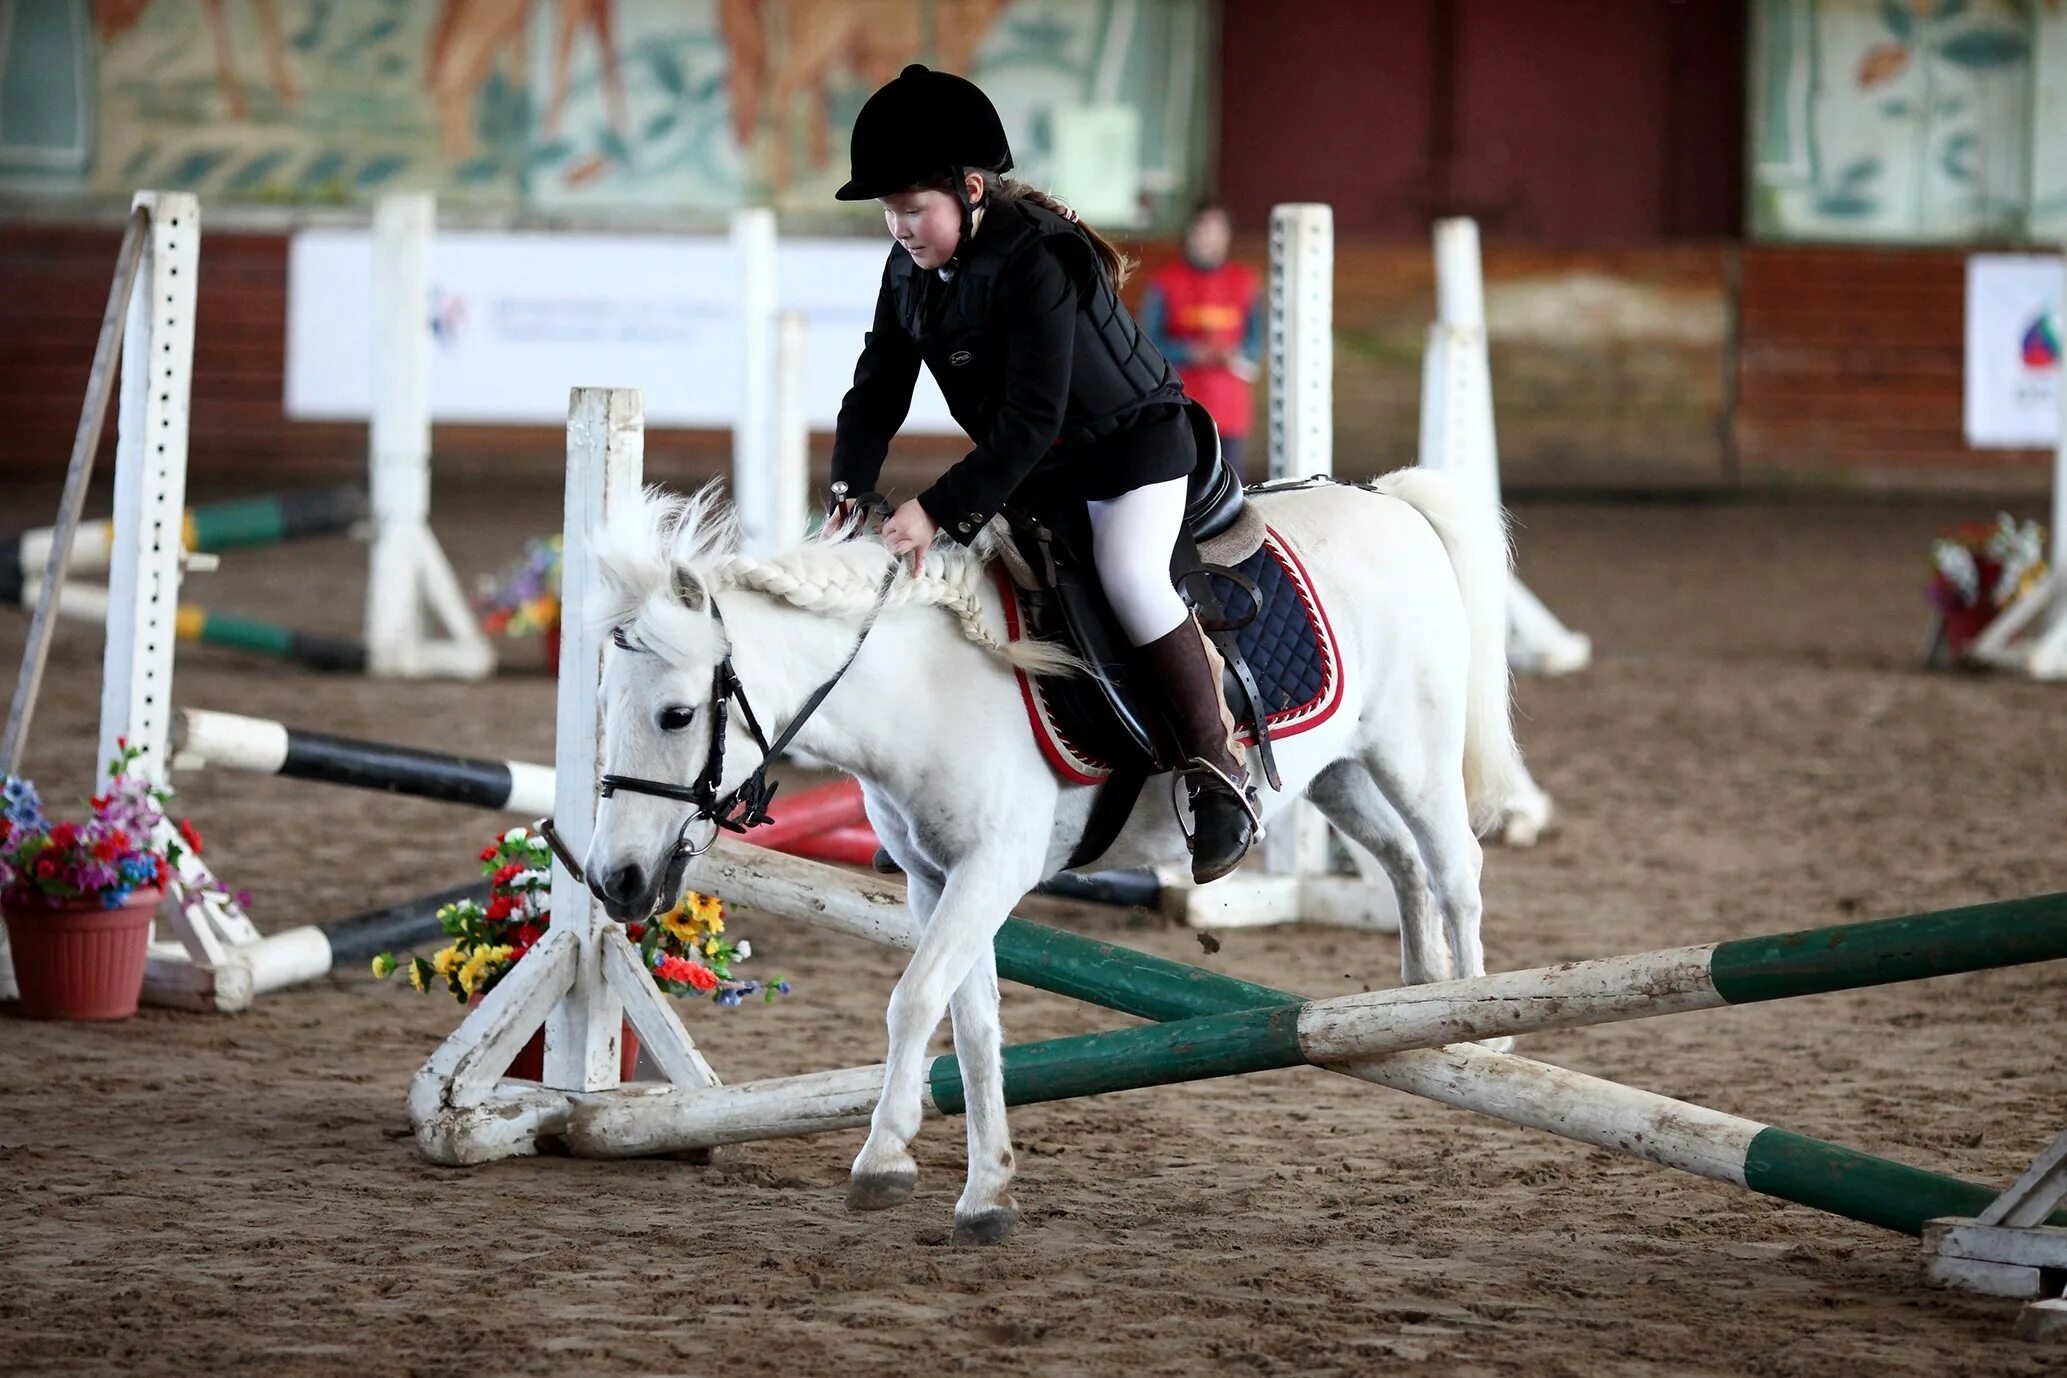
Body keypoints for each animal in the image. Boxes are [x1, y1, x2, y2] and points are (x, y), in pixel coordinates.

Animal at [582, 468, 1521, 1247]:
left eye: (674, 715)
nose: (612, 880)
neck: (922, 687)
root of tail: (1389, 501)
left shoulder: (989, 872)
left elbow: (912, 999)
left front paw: (883, 1159)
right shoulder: (934, 882)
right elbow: (972, 1026)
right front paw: (986, 1195)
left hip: (1412, 754)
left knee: (1456, 870)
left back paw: (1480, 1029)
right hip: (1337, 774)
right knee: (1402, 863)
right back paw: (1417, 994)